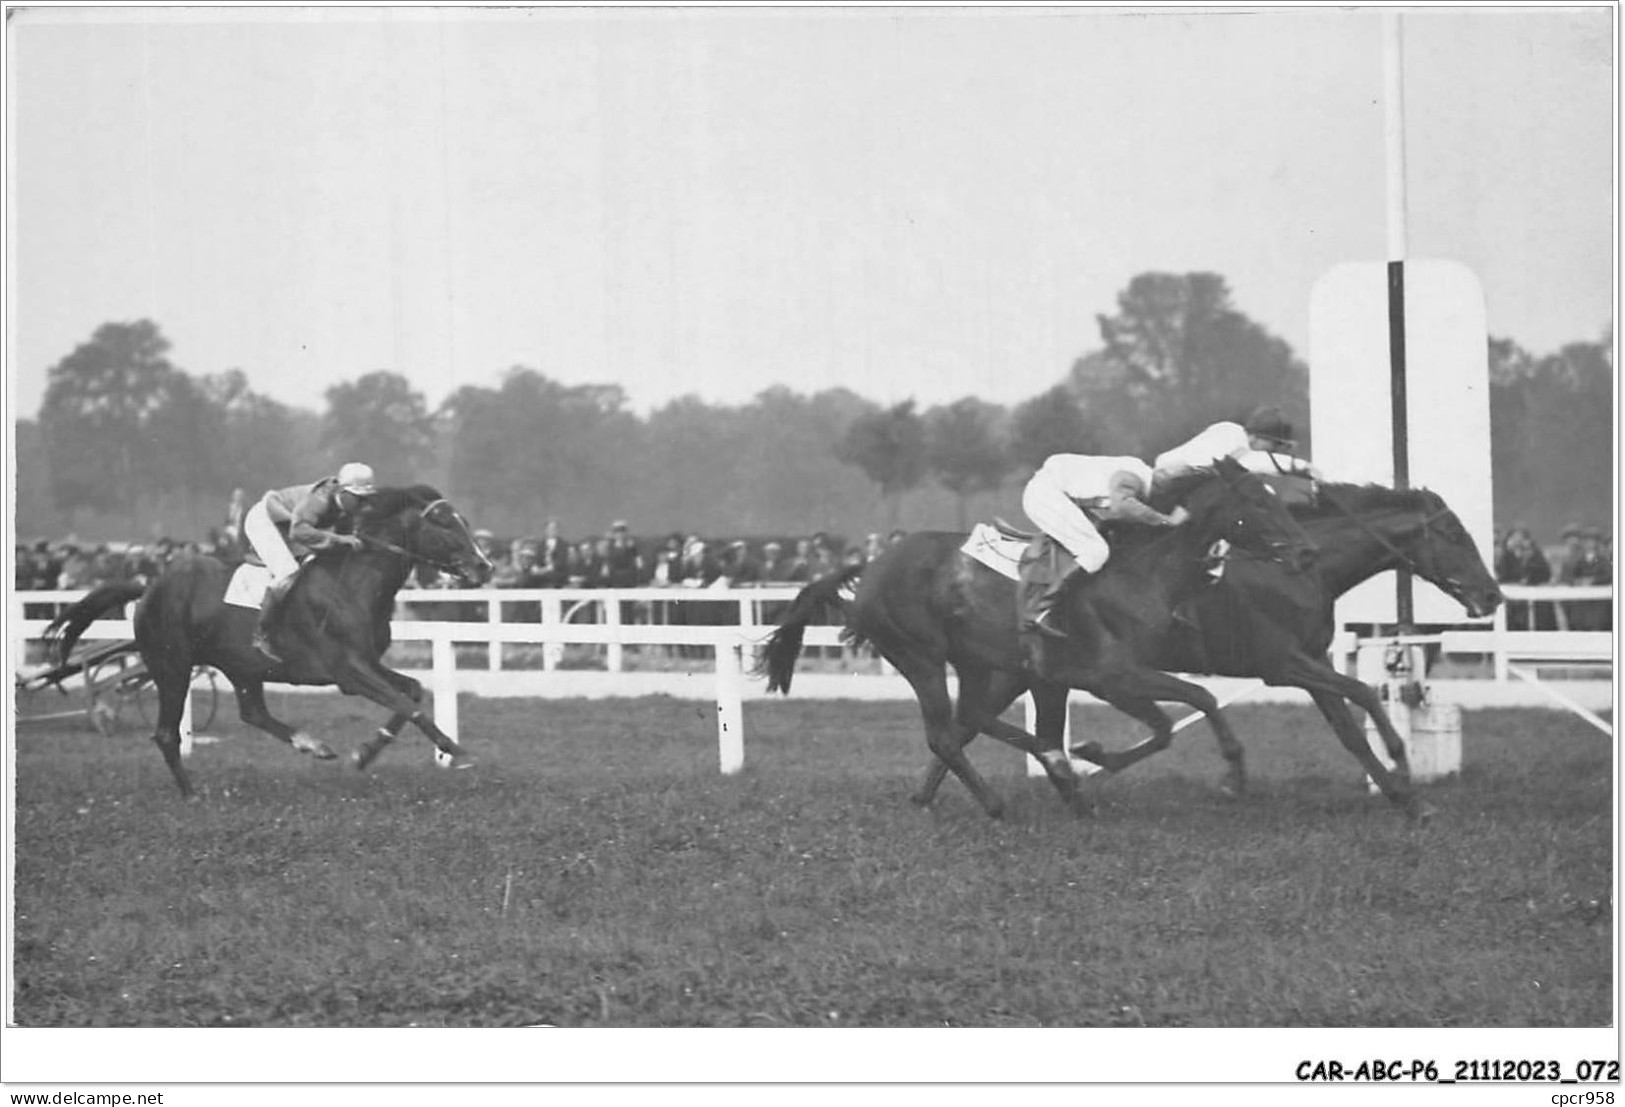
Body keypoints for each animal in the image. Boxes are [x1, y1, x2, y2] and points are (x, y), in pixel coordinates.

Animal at [46, 484, 494, 793]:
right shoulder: (348, 670)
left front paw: (367, 751)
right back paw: (192, 794)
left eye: (465, 522)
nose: (485, 567)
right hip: (171, 666)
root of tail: (148, 586)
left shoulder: (366, 663)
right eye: (443, 522)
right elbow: (406, 702)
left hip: (241, 666)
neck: (355, 581)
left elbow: (412, 691)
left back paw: (312, 745)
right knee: (166, 733)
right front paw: (457, 751)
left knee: (253, 713)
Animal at [760, 451, 1319, 816]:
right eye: (1258, 502)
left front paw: (1085, 768)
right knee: (944, 733)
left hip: (975, 660)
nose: (1306, 552)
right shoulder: (1113, 677)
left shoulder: (1073, 676)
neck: (1141, 571)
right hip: (920, 656)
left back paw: (1044, 772)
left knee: (970, 718)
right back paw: (1000, 800)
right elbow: (1185, 709)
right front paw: (1229, 775)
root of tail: (871, 566)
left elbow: (1180, 714)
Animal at [910, 481, 1501, 819]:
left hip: (1020, 670)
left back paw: (930, 797)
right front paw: (1401, 762)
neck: (1298, 568)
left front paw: (1408, 798)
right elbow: (1364, 694)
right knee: (964, 726)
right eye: (1454, 535)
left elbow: (1351, 726)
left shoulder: (1311, 661)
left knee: (965, 725)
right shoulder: (1281, 664)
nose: (1492, 595)